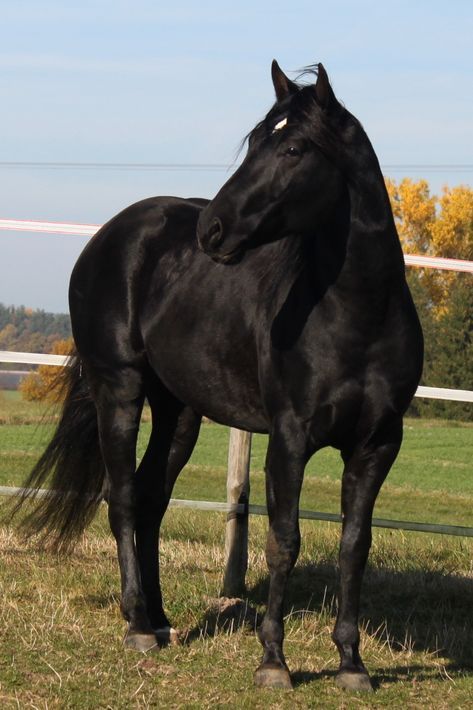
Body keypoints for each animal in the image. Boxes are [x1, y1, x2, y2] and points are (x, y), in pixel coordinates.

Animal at [19, 62, 424, 696]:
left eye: (293, 147)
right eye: (254, 142)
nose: (212, 230)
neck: (359, 314)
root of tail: (110, 235)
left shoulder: (378, 444)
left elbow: (354, 546)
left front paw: (352, 665)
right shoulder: (289, 439)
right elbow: (284, 541)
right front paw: (273, 662)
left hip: (179, 411)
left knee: (152, 498)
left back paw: (162, 621)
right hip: (119, 390)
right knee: (123, 496)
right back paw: (137, 624)